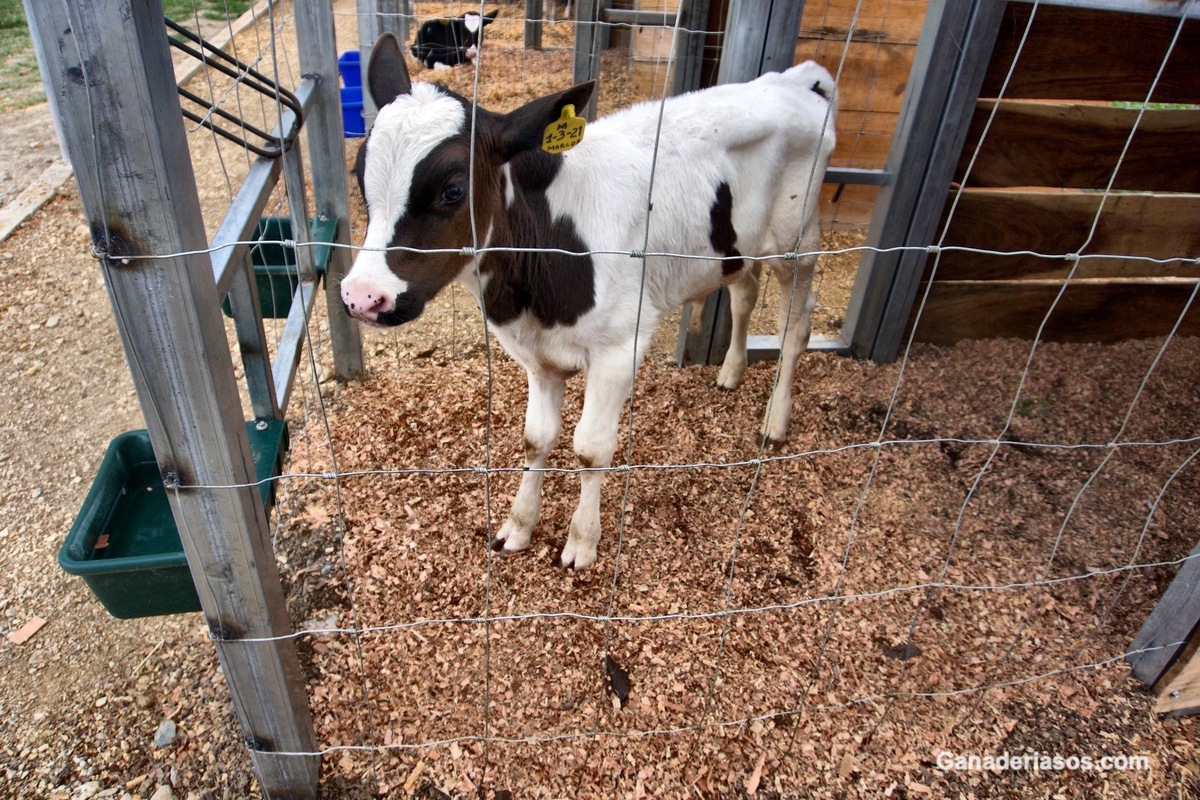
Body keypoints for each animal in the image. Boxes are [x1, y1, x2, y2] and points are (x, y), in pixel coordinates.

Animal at [343, 31, 840, 568]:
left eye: (452, 190)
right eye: (359, 174)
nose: (361, 296)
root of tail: (796, 80)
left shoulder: (620, 347)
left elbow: (590, 449)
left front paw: (582, 541)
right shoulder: (536, 354)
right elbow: (535, 439)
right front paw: (519, 526)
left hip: (798, 242)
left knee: (797, 326)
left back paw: (776, 420)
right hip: (738, 246)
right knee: (744, 292)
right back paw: (731, 371)